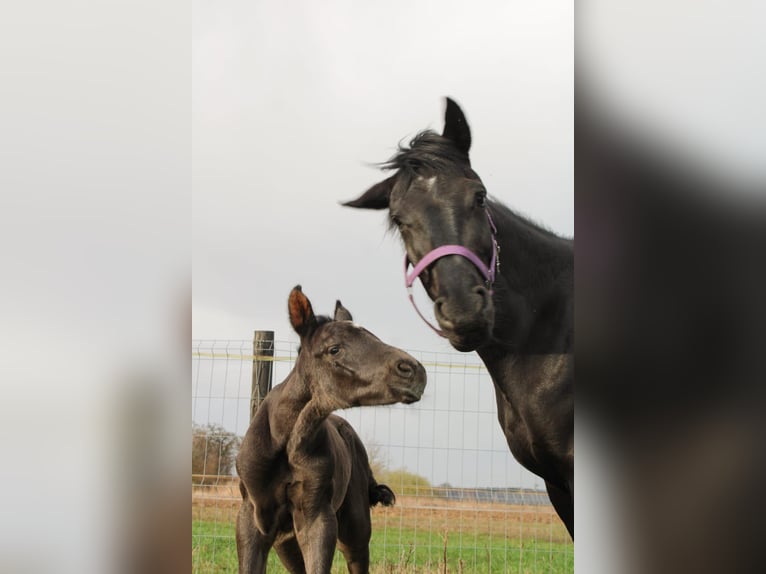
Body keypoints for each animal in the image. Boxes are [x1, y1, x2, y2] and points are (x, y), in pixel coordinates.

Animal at [237, 288, 428, 574]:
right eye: (334, 349)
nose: (414, 371)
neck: (285, 443)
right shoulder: (252, 516)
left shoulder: (317, 516)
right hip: (286, 541)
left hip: (355, 528)